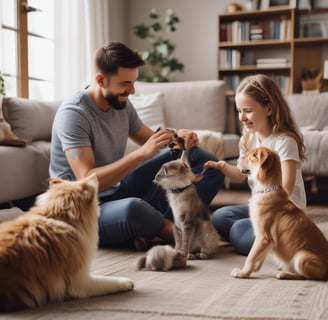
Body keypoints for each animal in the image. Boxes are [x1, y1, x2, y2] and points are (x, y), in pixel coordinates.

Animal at [231, 148, 328, 280]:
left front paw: (243, 272)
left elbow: (251, 256)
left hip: (302, 256)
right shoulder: (267, 240)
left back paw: (284, 274)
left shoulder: (263, 237)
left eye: (251, 157)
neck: (267, 190)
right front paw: (254, 269)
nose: (237, 158)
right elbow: (260, 255)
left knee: (304, 277)